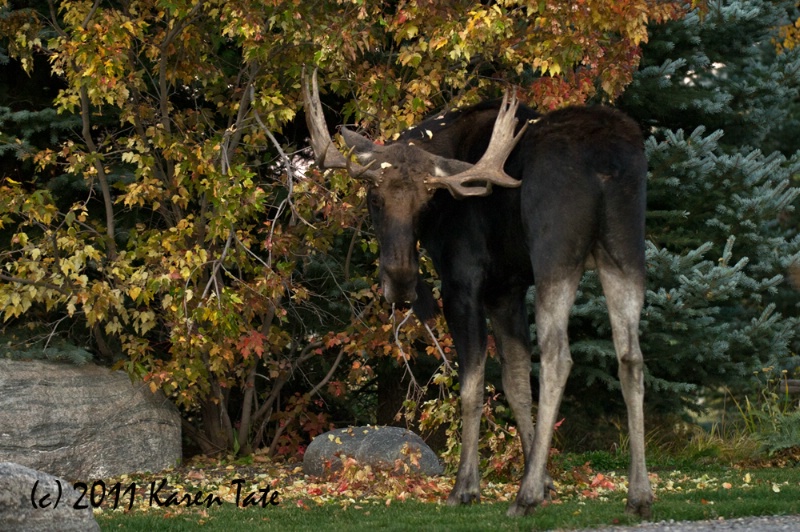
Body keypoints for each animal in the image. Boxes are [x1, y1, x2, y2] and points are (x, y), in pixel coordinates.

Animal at [300, 68, 648, 516]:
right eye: (374, 198)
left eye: (427, 201)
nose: (401, 279)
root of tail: (606, 160)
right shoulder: (506, 288)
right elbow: (516, 384)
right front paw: (546, 480)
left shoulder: (463, 282)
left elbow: (471, 386)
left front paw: (468, 486)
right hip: (625, 251)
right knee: (631, 357)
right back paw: (639, 495)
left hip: (555, 254)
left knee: (558, 357)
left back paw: (524, 497)